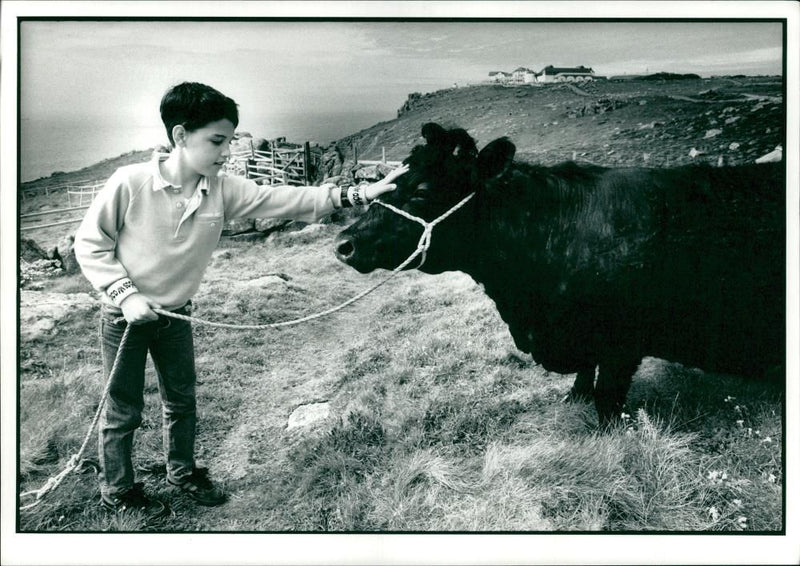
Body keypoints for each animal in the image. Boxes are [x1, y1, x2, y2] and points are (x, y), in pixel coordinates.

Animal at [334, 125, 784, 426]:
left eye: (423, 191)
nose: (344, 244)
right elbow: (586, 378)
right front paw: (573, 399)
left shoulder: (621, 342)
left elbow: (606, 398)